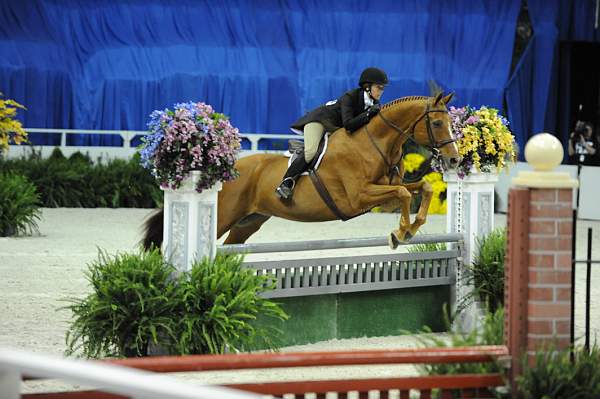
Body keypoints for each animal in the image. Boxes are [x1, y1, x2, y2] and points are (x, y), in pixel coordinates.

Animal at [143, 92, 462, 252]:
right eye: (436, 124)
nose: (455, 160)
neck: (377, 141)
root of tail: (226, 171)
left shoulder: (385, 193)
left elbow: (419, 189)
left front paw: (409, 229)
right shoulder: (357, 197)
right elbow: (404, 193)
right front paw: (400, 233)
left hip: (248, 222)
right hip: (223, 216)